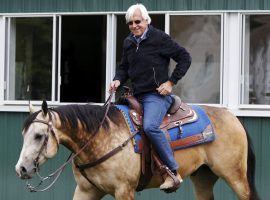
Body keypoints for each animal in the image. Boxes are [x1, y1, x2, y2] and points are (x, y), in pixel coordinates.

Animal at [15, 98, 260, 200]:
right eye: (24, 135)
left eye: (39, 136)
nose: (21, 169)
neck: (100, 137)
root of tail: (233, 117)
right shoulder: (86, 190)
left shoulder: (124, 191)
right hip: (203, 177)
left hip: (235, 176)